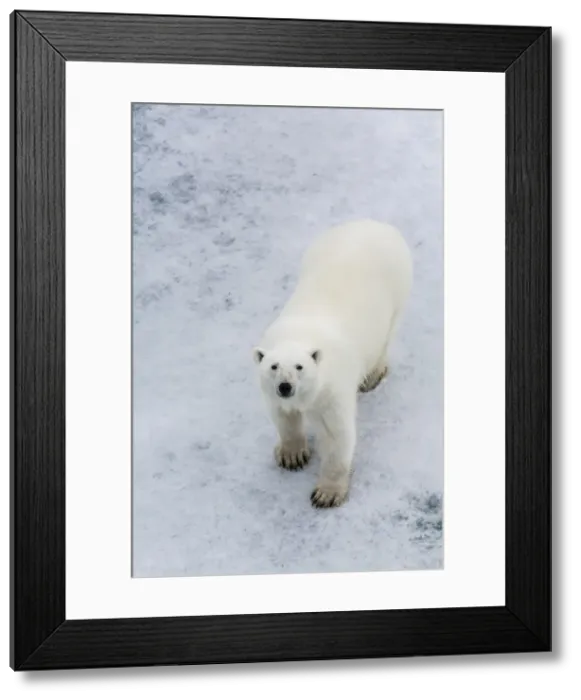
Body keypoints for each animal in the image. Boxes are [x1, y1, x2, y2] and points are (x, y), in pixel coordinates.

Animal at [253, 219, 413, 508]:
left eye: (300, 367)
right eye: (273, 366)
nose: (285, 387)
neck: (299, 333)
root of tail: (375, 223)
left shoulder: (332, 388)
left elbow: (336, 435)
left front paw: (326, 494)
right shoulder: (273, 394)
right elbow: (284, 417)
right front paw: (291, 456)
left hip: (398, 285)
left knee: (387, 333)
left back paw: (372, 376)